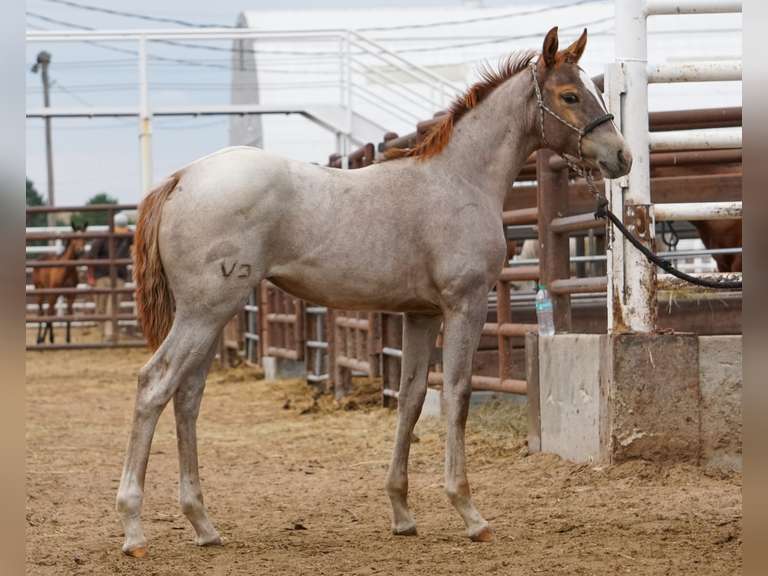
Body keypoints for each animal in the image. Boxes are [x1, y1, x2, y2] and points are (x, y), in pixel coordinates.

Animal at [117, 27, 632, 557]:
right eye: (569, 95)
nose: (622, 156)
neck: (459, 179)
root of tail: (182, 179)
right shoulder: (464, 305)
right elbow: (458, 394)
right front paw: (469, 512)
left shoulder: (421, 314)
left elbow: (410, 397)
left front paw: (402, 513)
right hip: (204, 312)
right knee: (154, 385)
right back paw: (134, 529)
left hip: (212, 315)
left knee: (187, 396)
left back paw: (203, 524)